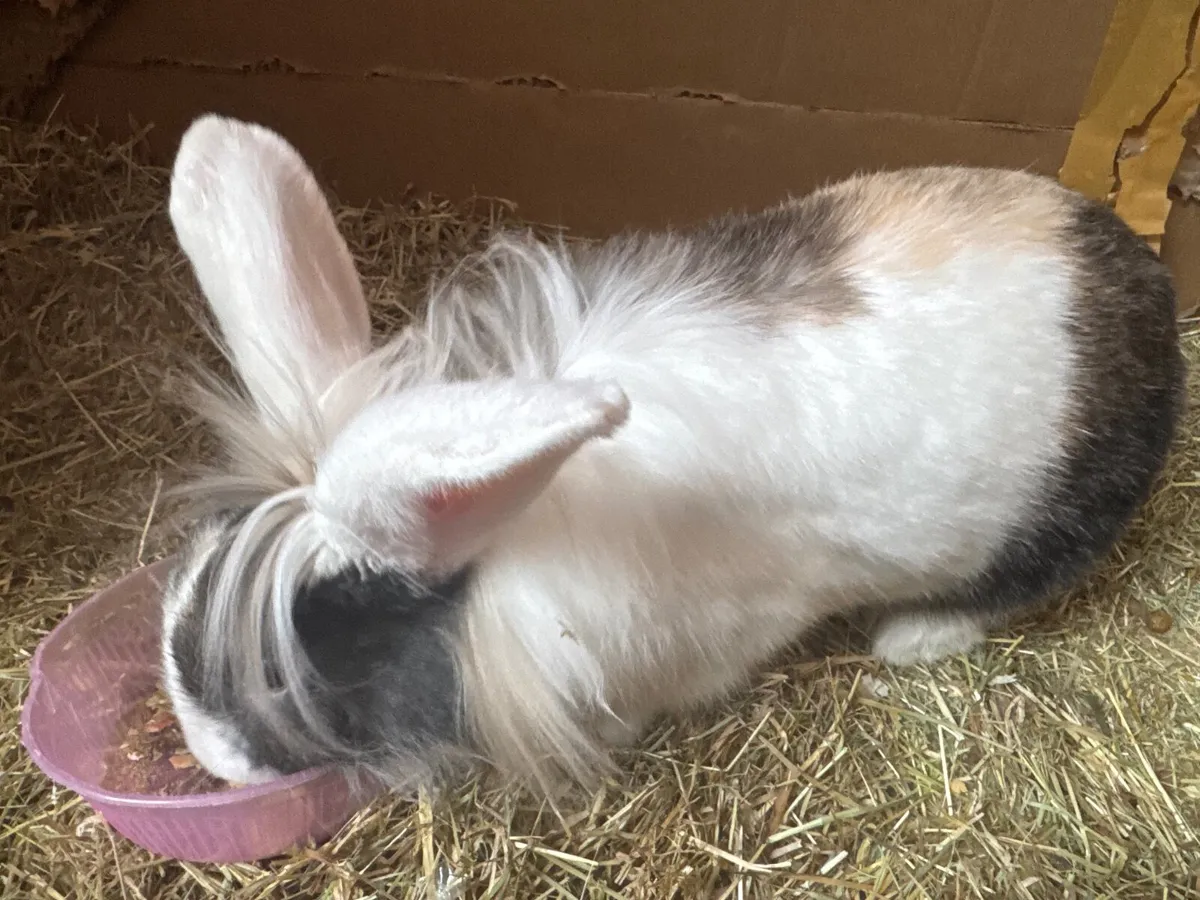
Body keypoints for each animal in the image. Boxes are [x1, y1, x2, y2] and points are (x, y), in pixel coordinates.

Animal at [159, 113, 1185, 792]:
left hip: (1054, 515)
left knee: (1021, 583)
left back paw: (912, 638)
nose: (208, 753)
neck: (518, 537)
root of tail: (1152, 289)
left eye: (293, 672)